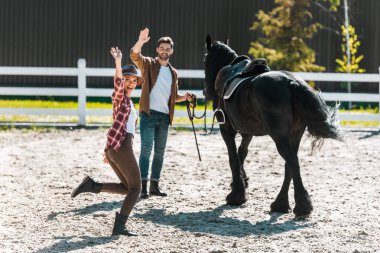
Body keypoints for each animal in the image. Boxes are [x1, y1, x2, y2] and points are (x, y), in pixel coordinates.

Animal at [205, 35, 342, 216]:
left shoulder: (226, 130)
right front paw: (241, 182)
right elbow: (242, 154)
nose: (205, 92)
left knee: (292, 161)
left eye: (205, 60)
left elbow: (233, 158)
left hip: (279, 136)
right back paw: (281, 204)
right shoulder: (247, 133)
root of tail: (292, 82)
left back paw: (301, 205)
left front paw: (236, 194)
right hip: (294, 134)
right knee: (290, 164)